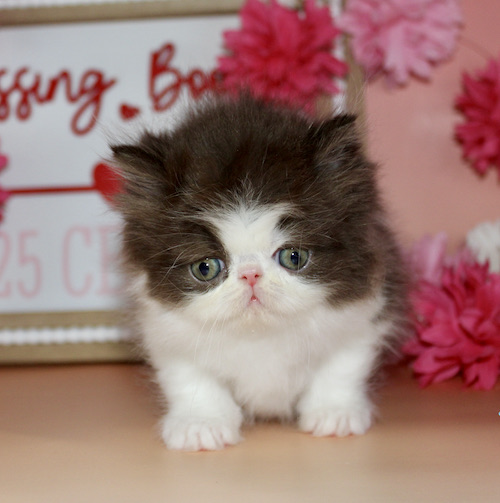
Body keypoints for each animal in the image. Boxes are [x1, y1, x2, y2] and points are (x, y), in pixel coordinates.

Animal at [111, 95, 408, 451]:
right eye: (206, 268)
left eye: (294, 257)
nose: (250, 275)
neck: (260, 335)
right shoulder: (165, 331)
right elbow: (191, 379)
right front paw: (201, 425)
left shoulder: (363, 315)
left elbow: (342, 367)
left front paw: (334, 414)